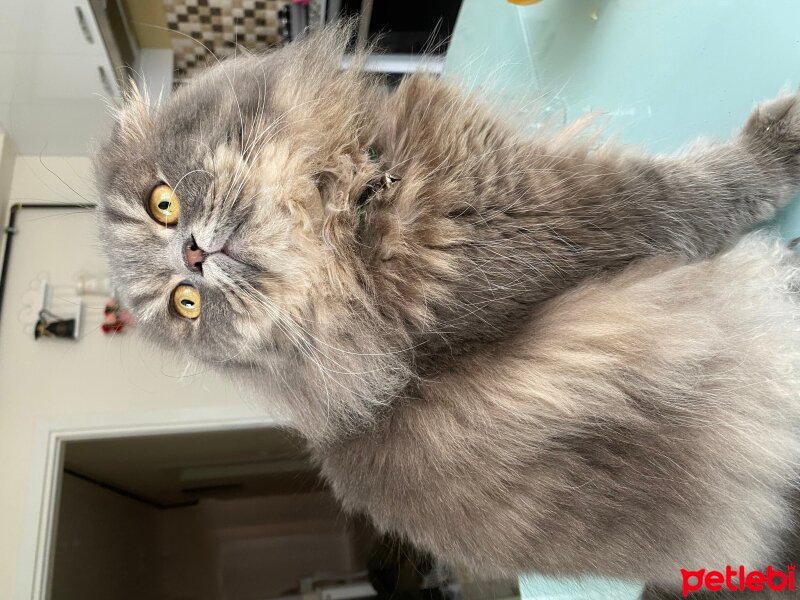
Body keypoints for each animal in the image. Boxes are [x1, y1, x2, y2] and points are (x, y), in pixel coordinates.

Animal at [95, 27, 800, 592]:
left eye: (162, 204)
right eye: (186, 306)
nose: (191, 256)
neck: (352, 229)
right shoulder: (563, 219)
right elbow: (697, 189)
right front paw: (780, 143)